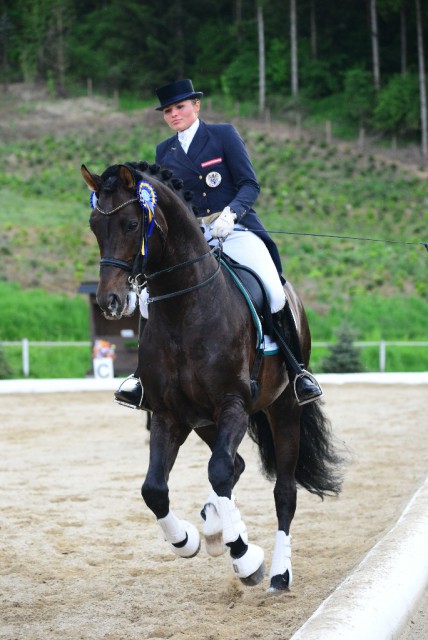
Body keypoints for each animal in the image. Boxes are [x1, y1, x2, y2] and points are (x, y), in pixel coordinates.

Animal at [81, 160, 344, 592]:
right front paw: (188, 540)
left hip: (283, 407)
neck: (185, 307)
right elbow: (155, 489)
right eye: (93, 226)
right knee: (234, 467)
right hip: (204, 422)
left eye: (132, 224)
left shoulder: (232, 404)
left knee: (282, 491)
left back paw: (277, 572)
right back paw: (216, 527)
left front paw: (243, 553)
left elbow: (219, 471)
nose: (110, 302)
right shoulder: (169, 415)